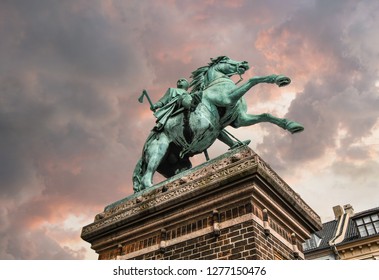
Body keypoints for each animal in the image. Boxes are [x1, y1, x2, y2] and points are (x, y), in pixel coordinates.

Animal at [132, 57, 304, 192]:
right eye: (225, 60)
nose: (244, 63)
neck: (218, 83)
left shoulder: (240, 119)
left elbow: (266, 115)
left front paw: (292, 125)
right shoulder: (228, 98)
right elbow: (253, 79)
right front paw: (279, 78)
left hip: (179, 161)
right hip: (158, 150)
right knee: (146, 179)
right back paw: (155, 191)